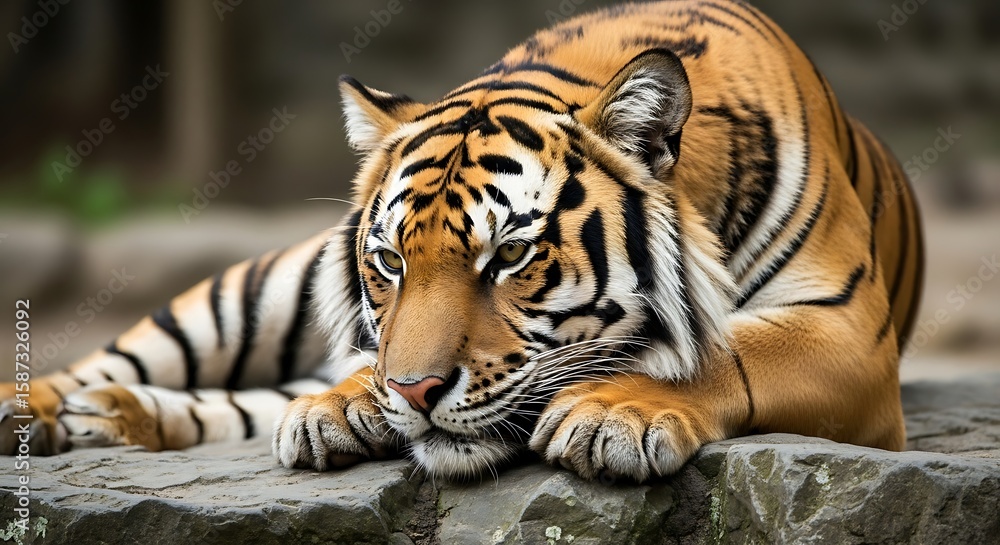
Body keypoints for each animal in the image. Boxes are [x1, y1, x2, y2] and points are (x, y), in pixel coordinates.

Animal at [1, 0, 923, 482]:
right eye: (389, 263)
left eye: (509, 256)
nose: (412, 393)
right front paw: (346, 404)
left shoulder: (848, 330)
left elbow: (724, 351)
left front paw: (611, 412)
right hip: (259, 287)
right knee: (134, 357)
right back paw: (43, 407)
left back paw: (111, 416)